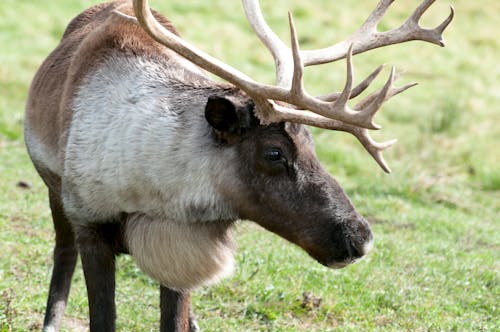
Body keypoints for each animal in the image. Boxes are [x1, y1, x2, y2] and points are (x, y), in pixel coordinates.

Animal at [24, 0, 454, 332]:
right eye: (274, 153)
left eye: (312, 144)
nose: (360, 237)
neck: (153, 192)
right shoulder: (91, 225)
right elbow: (101, 316)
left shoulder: (180, 250)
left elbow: (174, 322)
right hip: (55, 197)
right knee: (62, 253)